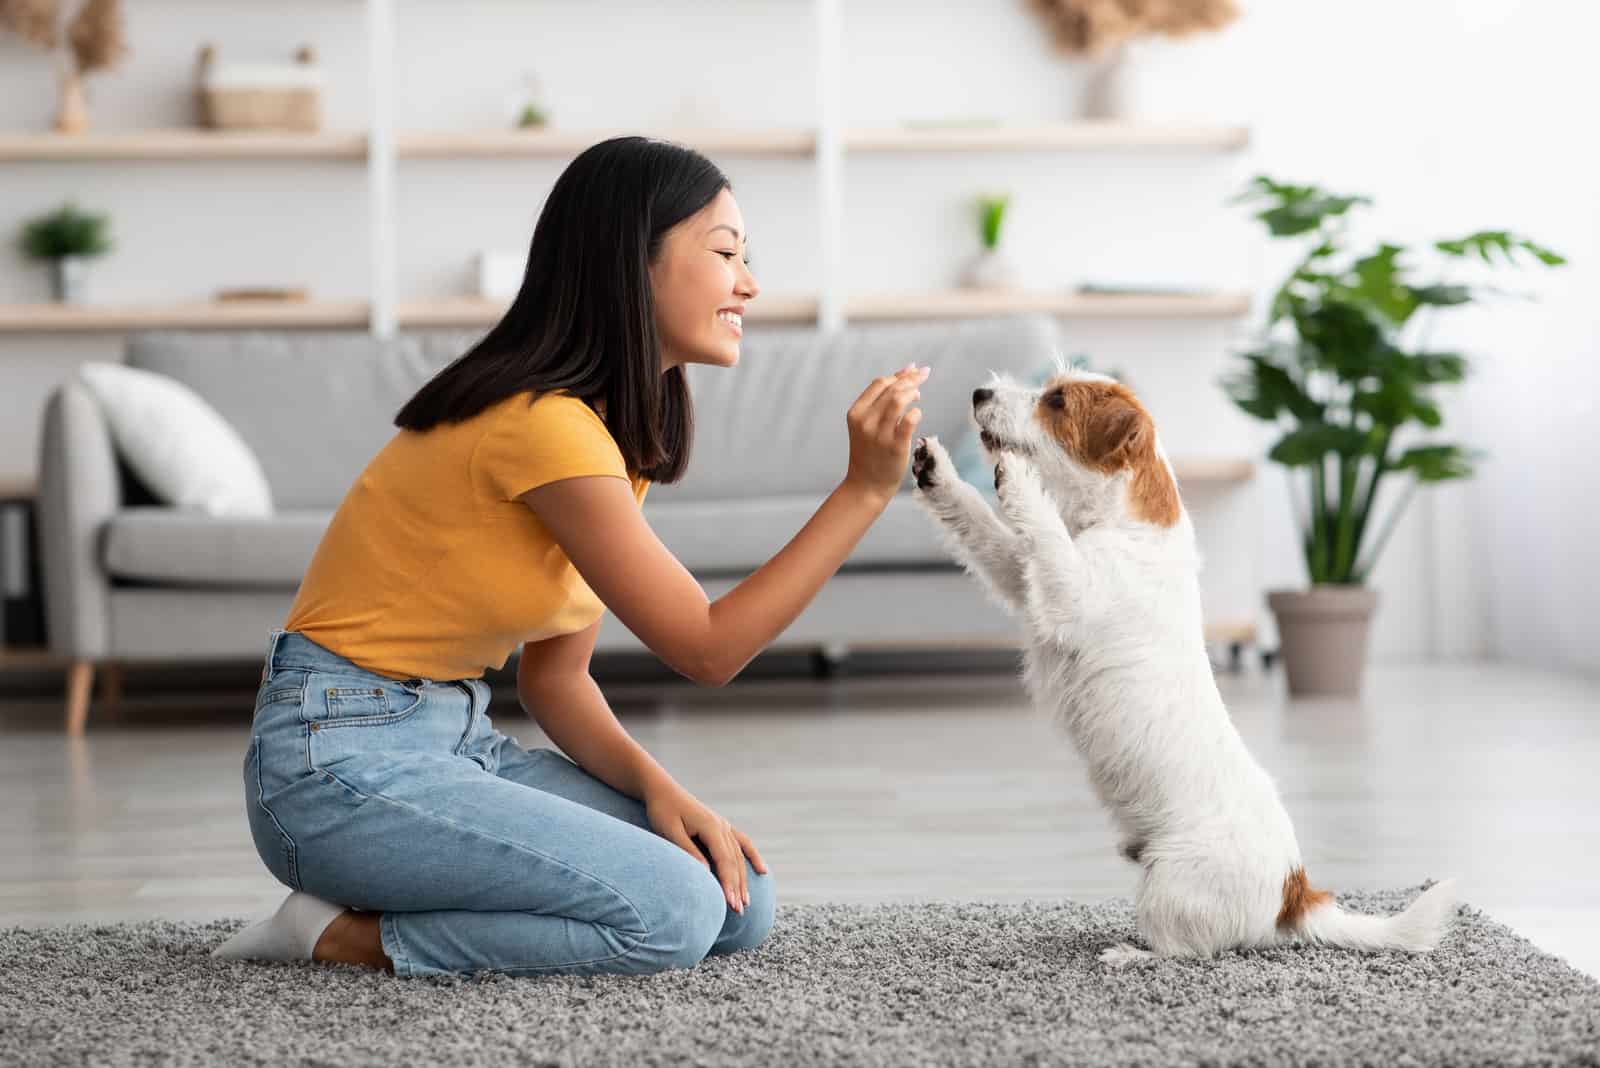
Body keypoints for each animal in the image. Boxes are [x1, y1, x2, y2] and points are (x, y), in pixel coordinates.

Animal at [908, 362, 1459, 965]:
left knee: (1184, 951)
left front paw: (1021, 479)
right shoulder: (1022, 579)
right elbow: (987, 533)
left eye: (1056, 401)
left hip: (1170, 882)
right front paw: (937, 472)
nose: (979, 392)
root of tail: (1294, 893)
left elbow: (1045, 533)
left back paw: (1129, 954)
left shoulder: (1070, 593)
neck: (1121, 522)